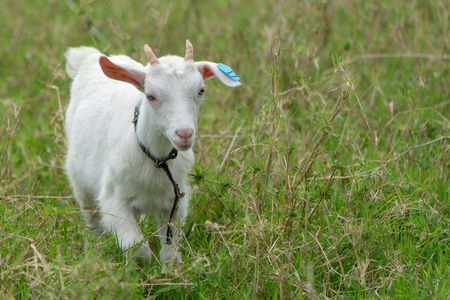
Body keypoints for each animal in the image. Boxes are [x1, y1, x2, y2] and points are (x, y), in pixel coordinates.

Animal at [65, 40, 241, 264]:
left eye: (201, 90)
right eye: (150, 96)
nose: (184, 133)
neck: (156, 158)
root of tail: (86, 58)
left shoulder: (175, 200)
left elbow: (169, 250)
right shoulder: (114, 200)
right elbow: (137, 247)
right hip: (81, 184)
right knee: (93, 221)